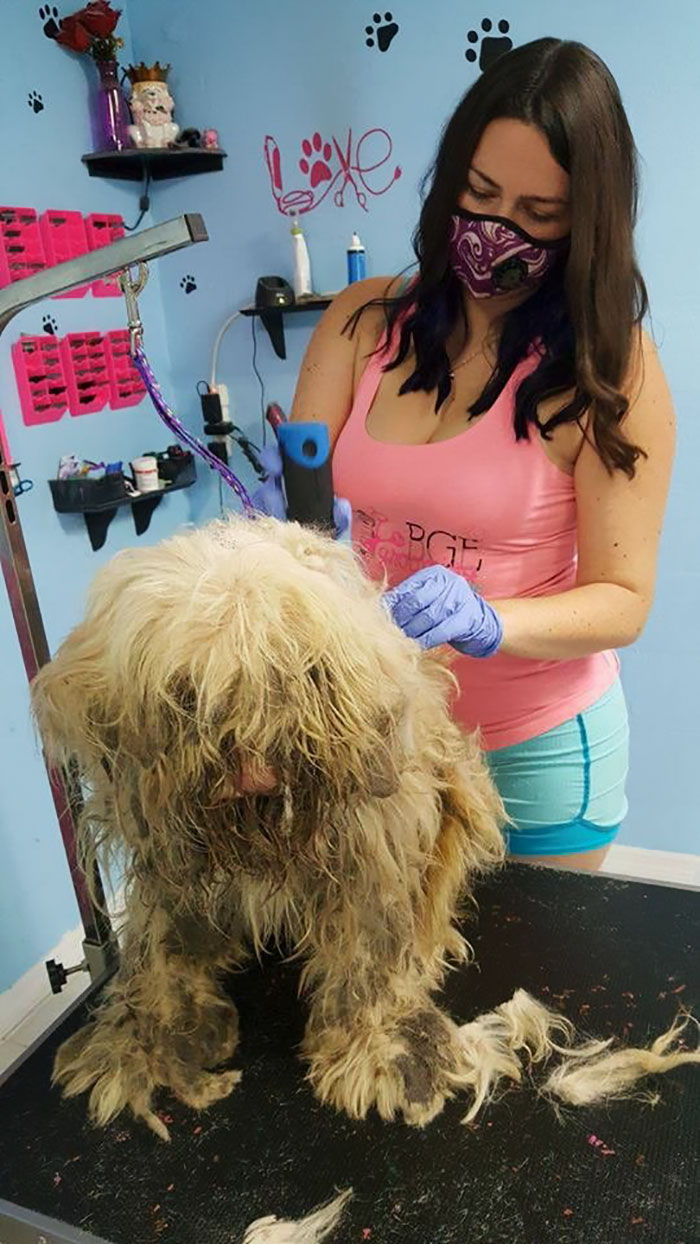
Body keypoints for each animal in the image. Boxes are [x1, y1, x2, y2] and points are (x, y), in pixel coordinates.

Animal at [31, 512, 509, 1139]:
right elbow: (159, 948)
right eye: (185, 693)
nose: (253, 773)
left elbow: (373, 954)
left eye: (298, 677)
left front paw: (389, 1048)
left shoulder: (375, 852)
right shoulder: (169, 863)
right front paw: (148, 1040)